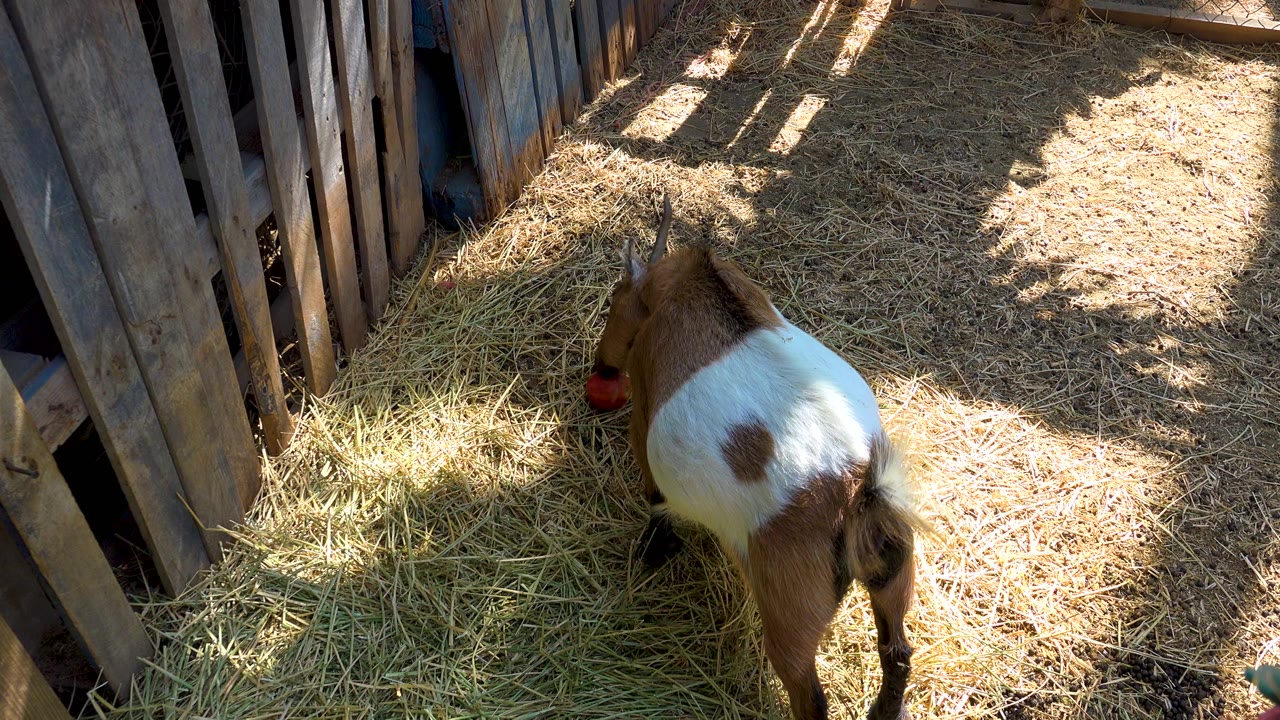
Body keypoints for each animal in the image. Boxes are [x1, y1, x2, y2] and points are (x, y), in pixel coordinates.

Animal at [588, 194, 921, 720]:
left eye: (613, 301)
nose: (601, 366)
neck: (683, 287)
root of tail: (857, 490)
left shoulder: (642, 409)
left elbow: (652, 490)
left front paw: (655, 547)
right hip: (894, 572)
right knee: (898, 652)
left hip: (790, 605)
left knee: (810, 697)